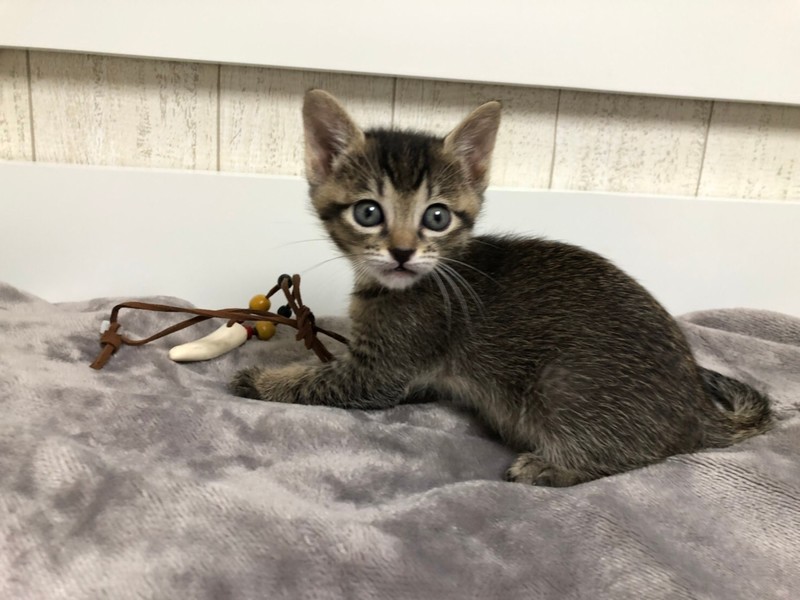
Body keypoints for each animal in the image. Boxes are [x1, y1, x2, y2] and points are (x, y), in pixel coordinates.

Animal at [230, 89, 772, 486]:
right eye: (368, 212)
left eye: (436, 217)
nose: (402, 251)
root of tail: (698, 409)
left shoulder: (379, 372)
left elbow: (319, 381)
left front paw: (261, 379)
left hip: (562, 384)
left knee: (642, 456)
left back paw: (551, 465)